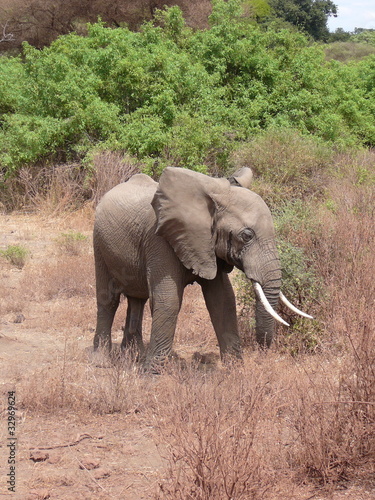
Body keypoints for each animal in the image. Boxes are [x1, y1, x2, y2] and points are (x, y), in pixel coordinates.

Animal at [94, 166, 312, 370]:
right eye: (247, 236)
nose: (261, 353)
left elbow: (223, 300)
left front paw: (235, 369)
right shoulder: (159, 240)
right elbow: (168, 300)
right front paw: (151, 374)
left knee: (137, 298)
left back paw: (134, 356)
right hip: (99, 242)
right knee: (109, 299)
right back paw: (102, 362)